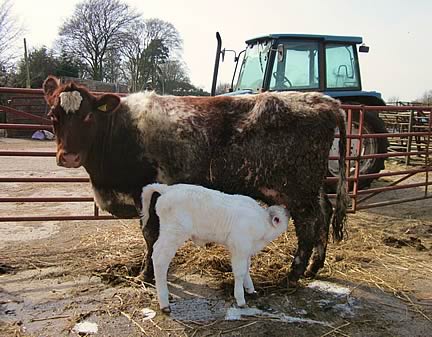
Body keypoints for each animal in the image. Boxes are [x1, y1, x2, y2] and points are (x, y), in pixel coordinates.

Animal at [42, 77, 350, 286]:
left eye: (88, 116)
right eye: (53, 116)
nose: (68, 156)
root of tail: (326, 102)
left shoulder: (149, 192)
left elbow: (150, 235)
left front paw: (146, 274)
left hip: (298, 188)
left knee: (308, 224)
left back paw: (293, 274)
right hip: (313, 185)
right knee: (325, 212)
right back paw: (313, 268)